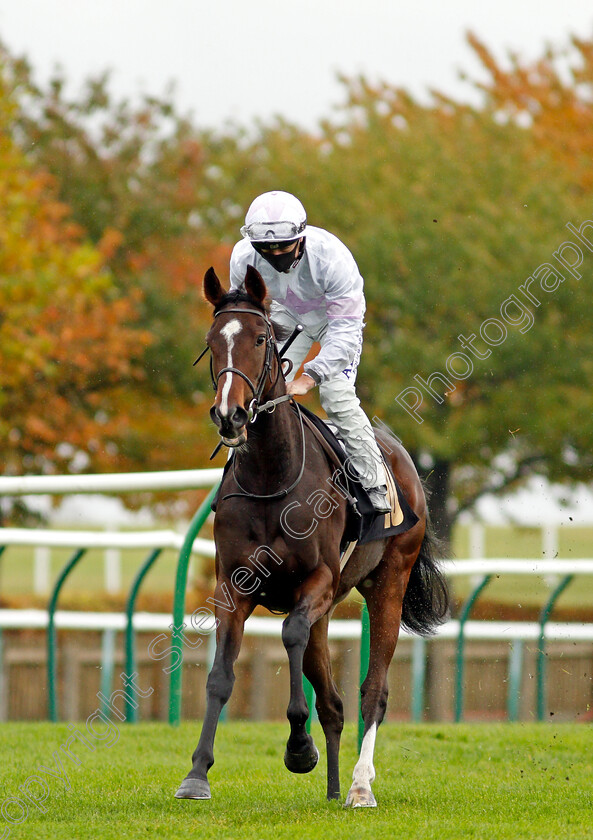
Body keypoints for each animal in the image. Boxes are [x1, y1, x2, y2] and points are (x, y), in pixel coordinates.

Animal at [173, 268, 446, 808]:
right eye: (212, 342)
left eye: (261, 339)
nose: (230, 415)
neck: (270, 479)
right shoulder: (232, 587)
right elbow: (220, 676)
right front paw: (197, 773)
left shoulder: (316, 580)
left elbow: (290, 636)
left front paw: (299, 749)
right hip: (330, 605)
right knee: (335, 703)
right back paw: (335, 788)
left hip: (388, 581)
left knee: (372, 690)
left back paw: (359, 786)